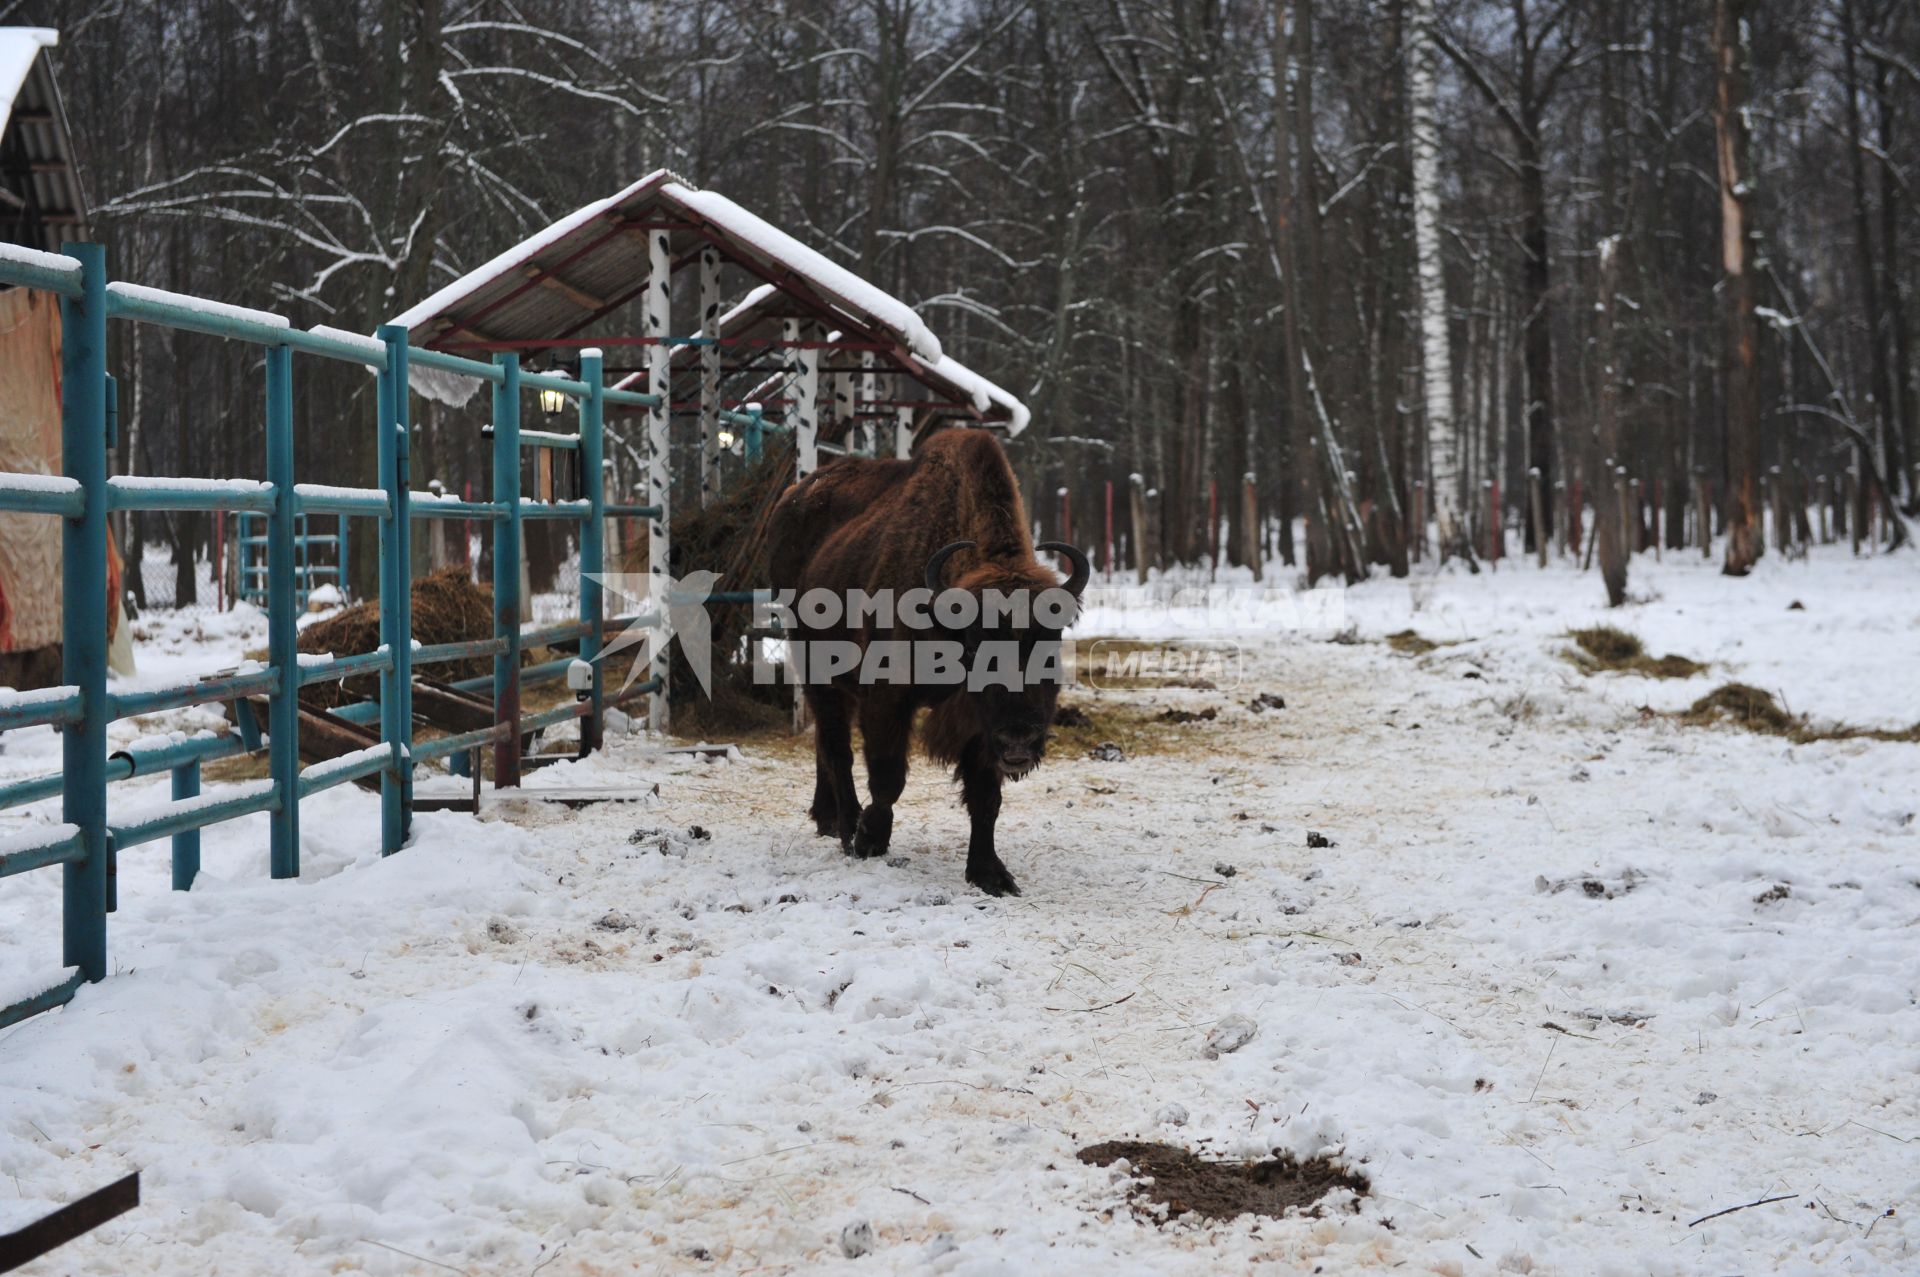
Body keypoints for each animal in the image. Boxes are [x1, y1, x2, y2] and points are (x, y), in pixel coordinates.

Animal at [768, 422, 1098, 891]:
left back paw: (828, 820)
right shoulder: (887, 699)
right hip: (814, 665)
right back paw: (846, 827)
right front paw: (869, 840)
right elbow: (888, 778)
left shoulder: (980, 725)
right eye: (977, 645)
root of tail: (792, 497)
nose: (1019, 740)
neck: (945, 622)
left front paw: (990, 874)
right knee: (836, 747)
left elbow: (985, 795)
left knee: (825, 742)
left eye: (1050, 642)